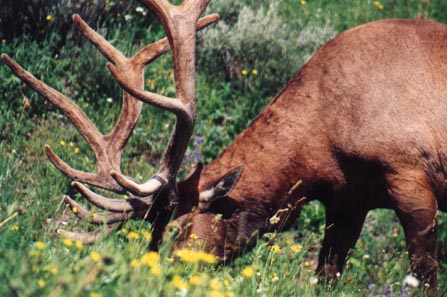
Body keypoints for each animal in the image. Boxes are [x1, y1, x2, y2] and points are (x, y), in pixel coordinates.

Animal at [0, 1, 447, 294]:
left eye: (176, 226)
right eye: (152, 234)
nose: (159, 279)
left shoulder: (410, 176)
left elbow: (425, 277)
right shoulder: (347, 201)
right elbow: (326, 275)